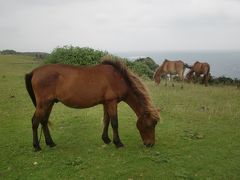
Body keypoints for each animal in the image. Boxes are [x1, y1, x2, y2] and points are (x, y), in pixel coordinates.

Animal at [24, 57, 159, 150]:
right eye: (149, 125)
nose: (150, 144)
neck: (117, 78)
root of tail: (34, 72)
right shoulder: (112, 102)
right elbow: (114, 123)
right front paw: (118, 143)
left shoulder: (106, 103)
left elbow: (106, 120)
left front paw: (106, 139)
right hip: (43, 104)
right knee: (35, 121)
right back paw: (36, 146)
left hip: (49, 103)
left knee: (44, 121)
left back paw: (50, 143)